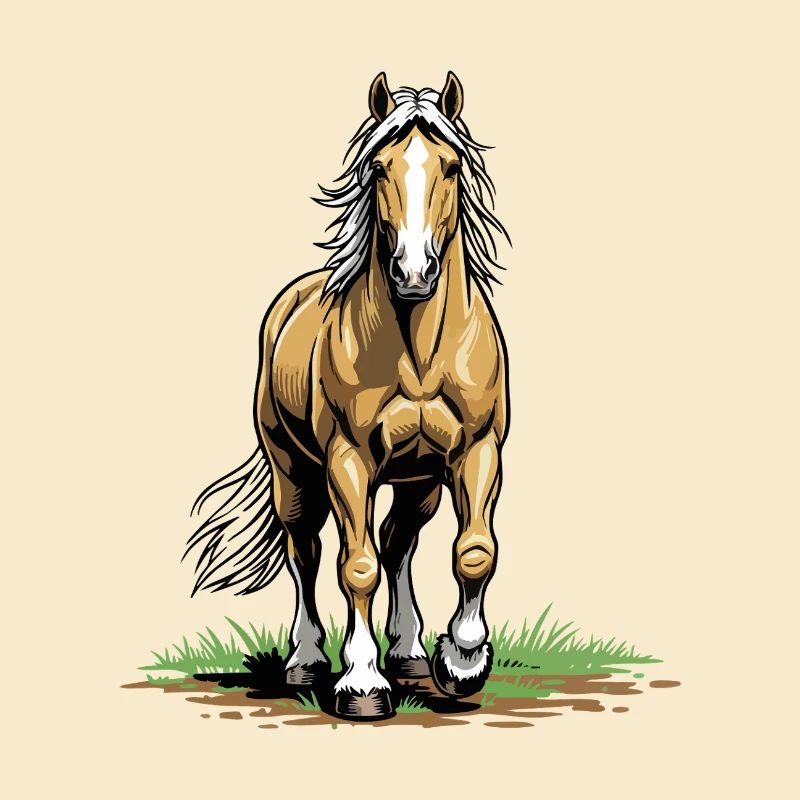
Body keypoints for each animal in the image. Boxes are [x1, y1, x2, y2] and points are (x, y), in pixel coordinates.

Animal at [185, 72, 510, 720]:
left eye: (452, 165)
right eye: (378, 167)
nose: (414, 272)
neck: (420, 351)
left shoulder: (477, 452)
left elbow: (473, 551)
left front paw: (461, 660)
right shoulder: (348, 461)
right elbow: (355, 567)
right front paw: (361, 683)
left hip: (418, 480)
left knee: (399, 542)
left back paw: (409, 653)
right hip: (294, 471)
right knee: (306, 551)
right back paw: (307, 659)